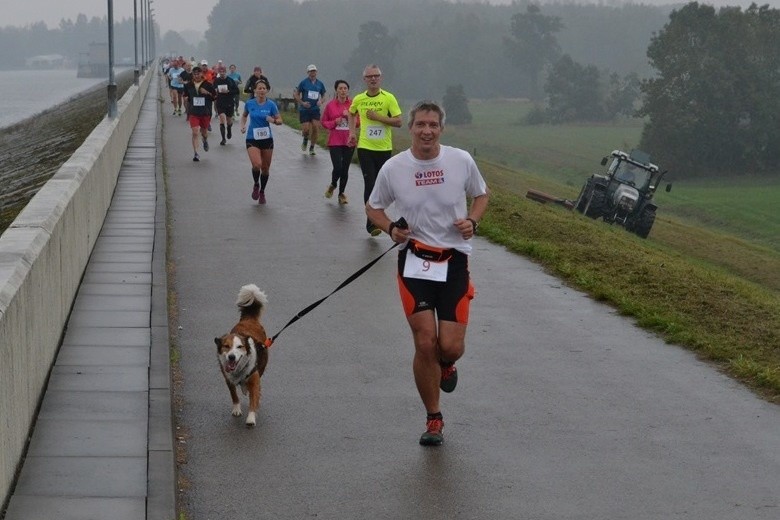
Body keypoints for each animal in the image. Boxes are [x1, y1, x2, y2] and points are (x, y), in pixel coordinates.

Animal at [215, 284, 270, 426]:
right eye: (226, 346)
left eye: (240, 347)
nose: (231, 357)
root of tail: (249, 319)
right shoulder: (228, 378)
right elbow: (234, 395)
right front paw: (236, 409)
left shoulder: (255, 377)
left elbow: (253, 397)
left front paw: (251, 418)